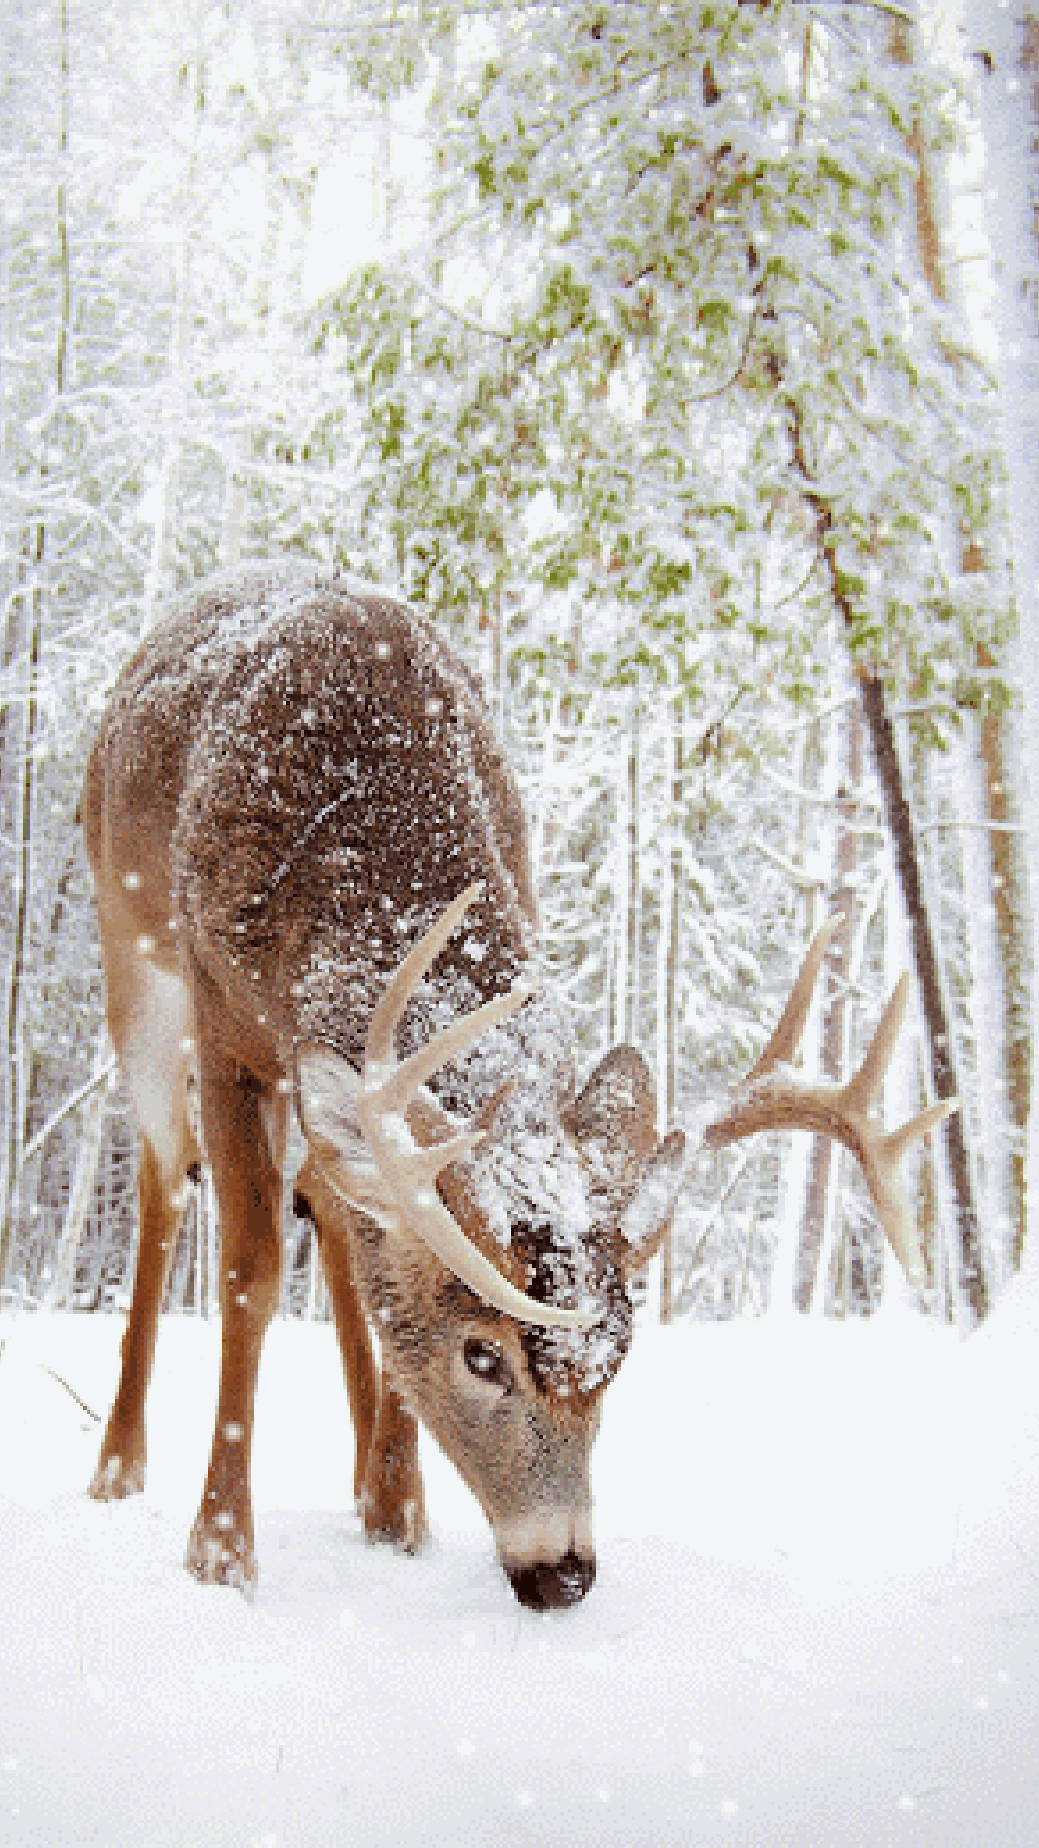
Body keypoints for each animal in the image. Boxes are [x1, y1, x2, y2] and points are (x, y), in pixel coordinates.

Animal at [82, 561, 953, 1610]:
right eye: (481, 1354)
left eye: (618, 1358)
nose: (562, 1572)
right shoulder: (224, 1015)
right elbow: (248, 1272)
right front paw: (218, 1551)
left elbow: (377, 1256)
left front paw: (399, 1517)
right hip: (131, 958)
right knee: (163, 1178)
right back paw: (118, 1463)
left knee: (333, 1205)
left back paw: (374, 1487)